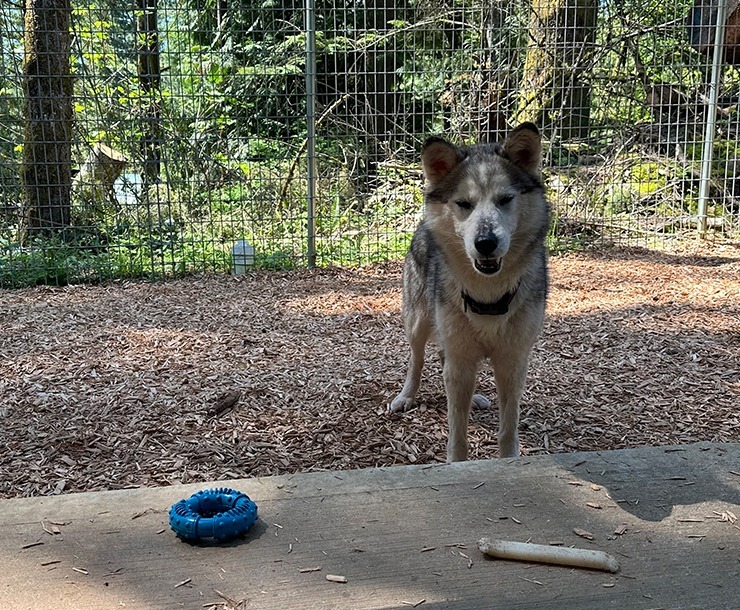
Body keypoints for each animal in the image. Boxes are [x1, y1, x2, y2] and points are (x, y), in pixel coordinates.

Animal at [390, 121, 548, 458]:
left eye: (505, 199)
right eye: (464, 204)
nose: (485, 242)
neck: (488, 295)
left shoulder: (513, 362)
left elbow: (508, 428)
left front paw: (509, 459)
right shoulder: (460, 357)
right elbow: (457, 434)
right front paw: (457, 462)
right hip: (417, 323)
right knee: (417, 359)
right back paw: (406, 396)